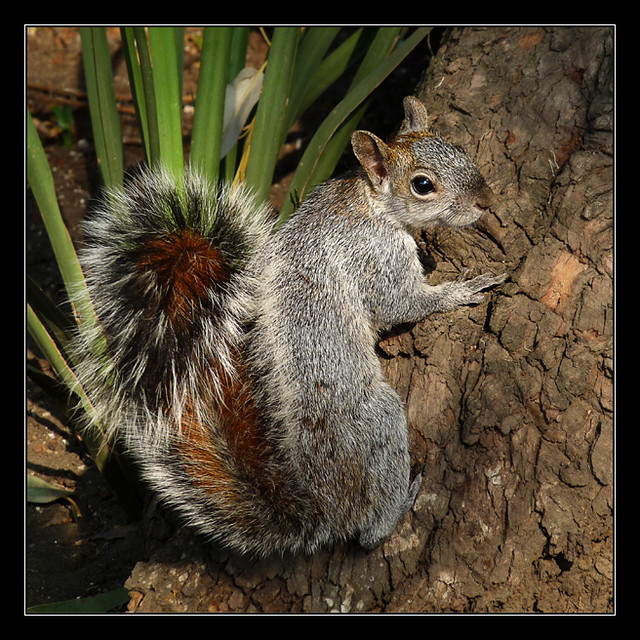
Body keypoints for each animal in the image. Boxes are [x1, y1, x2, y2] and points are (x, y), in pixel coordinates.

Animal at [70, 97, 508, 556]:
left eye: (457, 148)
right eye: (422, 185)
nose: (486, 200)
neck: (370, 202)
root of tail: (324, 507)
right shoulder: (373, 258)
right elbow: (400, 304)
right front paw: (460, 290)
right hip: (376, 423)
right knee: (368, 532)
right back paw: (401, 503)